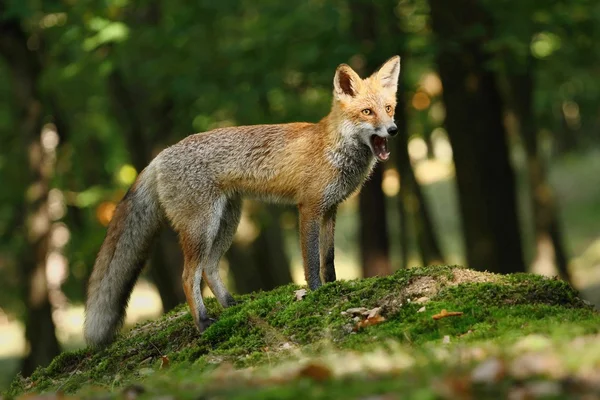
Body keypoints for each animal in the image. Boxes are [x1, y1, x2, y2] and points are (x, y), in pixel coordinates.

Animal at [84, 56, 400, 346]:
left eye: (388, 109)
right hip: (202, 226)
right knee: (188, 276)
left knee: (209, 268)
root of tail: (160, 156)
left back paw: (231, 306)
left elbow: (329, 259)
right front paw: (316, 293)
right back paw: (203, 322)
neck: (333, 148)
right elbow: (311, 261)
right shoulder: (309, 208)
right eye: (367, 112)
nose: (394, 130)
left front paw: (332, 287)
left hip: (228, 221)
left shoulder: (330, 209)